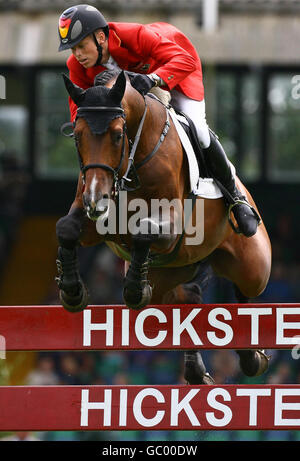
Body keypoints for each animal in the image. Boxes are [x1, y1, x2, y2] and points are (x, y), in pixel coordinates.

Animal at [55, 69, 274, 384]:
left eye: (118, 135)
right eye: (77, 136)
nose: (96, 198)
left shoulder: (170, 225)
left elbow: (143, 232)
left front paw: (135, 289)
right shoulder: (95, 219)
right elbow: (66, 229)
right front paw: (72, 292)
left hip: (254, 266)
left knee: (244, 290)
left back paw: (252, 357)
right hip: (173, 274)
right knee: (189, 298)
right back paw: (197, 371)